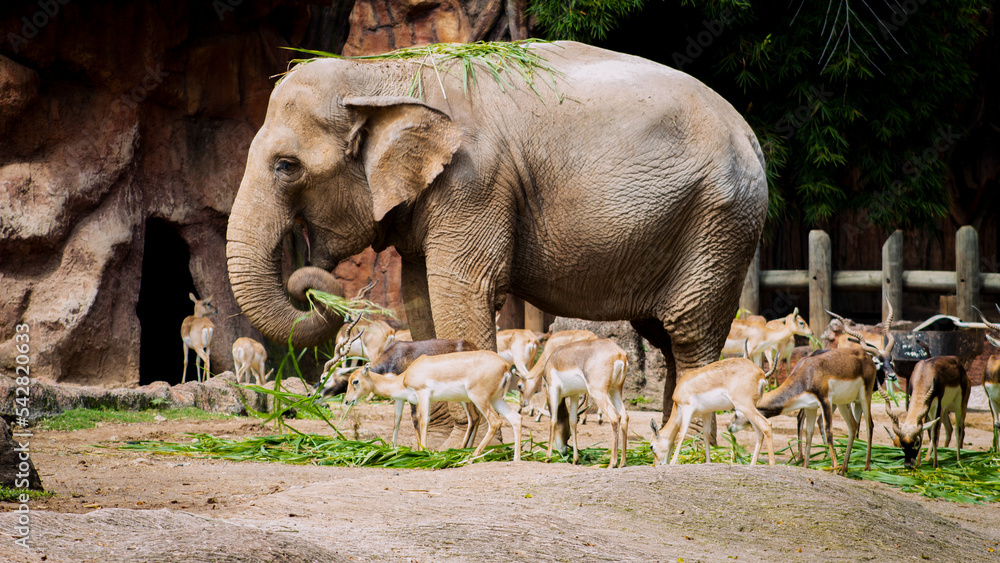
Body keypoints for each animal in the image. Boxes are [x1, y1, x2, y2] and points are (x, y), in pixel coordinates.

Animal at [226, 41, 768, 448]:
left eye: (287, 166)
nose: (315, 283)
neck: (383, 73)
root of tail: (752, 136)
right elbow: (421, 296)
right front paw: (439, 446)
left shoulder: (475, 181)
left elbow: (462, 293)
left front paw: (469, 444)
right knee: (667, 336)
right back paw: (668, 442)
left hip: (719, 222)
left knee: (689, 330)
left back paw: (690, 449)